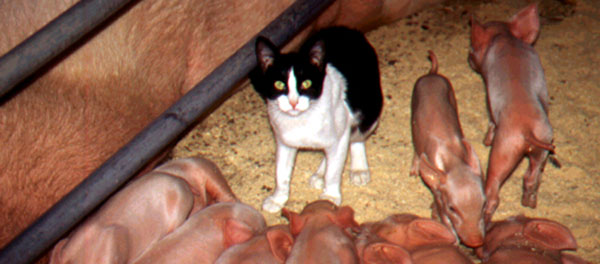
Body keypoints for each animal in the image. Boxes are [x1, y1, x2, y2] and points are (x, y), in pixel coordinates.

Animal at [250, 26, 382, 212]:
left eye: (306, 83)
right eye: (279, 84)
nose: (293, 102)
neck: (302, 120)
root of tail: (347, 29)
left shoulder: (340, 131)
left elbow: (334, 171)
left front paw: (330, 197)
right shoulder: (284, 141)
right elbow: (281, 172)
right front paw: (278, 199)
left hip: (369, 106)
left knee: (356, 136)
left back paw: (358, 169)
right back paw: (320, 173)